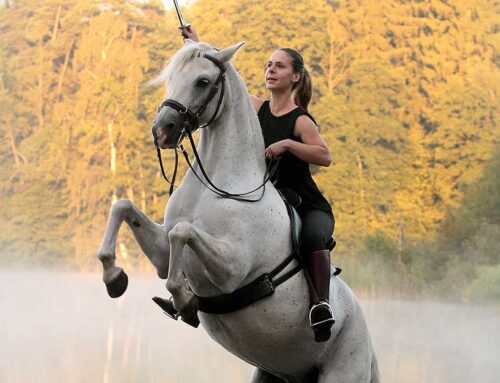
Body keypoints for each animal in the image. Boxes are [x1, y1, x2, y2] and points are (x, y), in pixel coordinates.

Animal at [96, 40, 378, 382]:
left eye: (203, 81)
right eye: (171, 78)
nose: (162, 131)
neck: (218, 184)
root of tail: (369, 348)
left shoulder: (233, 268)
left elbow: (182, 233)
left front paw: (184, 300)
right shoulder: (163, 256)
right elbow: (123, 207)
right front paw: (114, 277)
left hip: (341, 371)